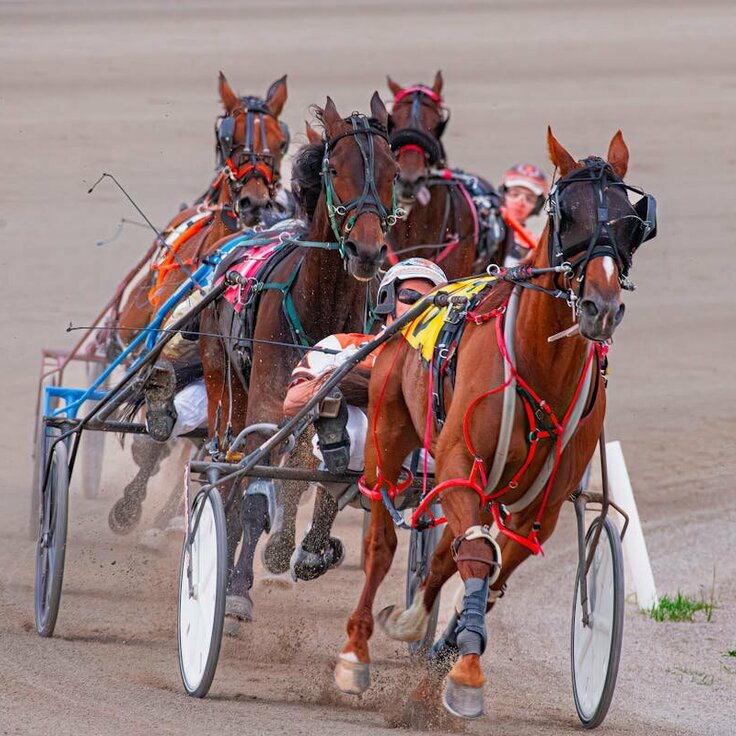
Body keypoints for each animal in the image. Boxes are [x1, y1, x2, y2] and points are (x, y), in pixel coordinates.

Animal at [198, 90, 400, 620]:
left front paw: (308, 549)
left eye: (393, 170)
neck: (321, 301)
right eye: (335, 168)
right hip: (222, 379)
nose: (366, 249)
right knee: (228, 467)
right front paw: (237, 590)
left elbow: (317, 472)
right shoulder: (268, 399)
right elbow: (253, 487)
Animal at [336, 128, 660, 720]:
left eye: (633, 221)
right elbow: (475, 554)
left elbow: (491, 569)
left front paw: (450, 653)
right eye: (567, 214)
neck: (541, 366)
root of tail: (418, 302)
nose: (600, 307)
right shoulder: (460, 460)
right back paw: (355, 652)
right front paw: (465, 672)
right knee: (380, 540)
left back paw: (417, 622)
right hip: (388, 437)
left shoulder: (540, 505)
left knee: (446, 551)